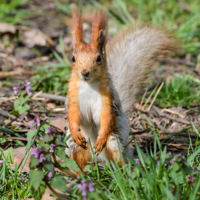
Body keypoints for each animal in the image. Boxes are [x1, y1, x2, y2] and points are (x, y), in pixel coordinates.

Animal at [65, 8, 176, 170]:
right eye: (73, 58)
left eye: (98, 58)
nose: (85, 72)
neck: (89, 84)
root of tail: (98, 159)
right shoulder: (73, 96)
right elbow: (73, 115)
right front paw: (74, 131)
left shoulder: (107, 98)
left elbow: (106, 117)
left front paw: (101, 138)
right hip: (76, 147)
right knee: (78, 158)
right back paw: (78, 173)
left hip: (114, 141)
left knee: (118, 157)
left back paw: (121, 171)